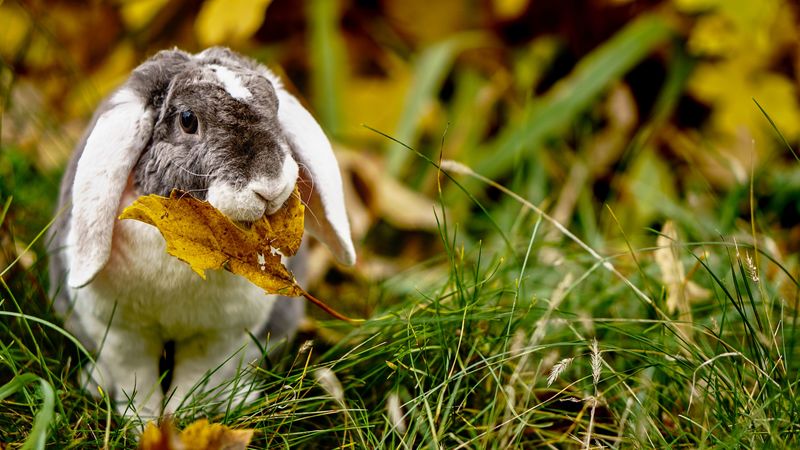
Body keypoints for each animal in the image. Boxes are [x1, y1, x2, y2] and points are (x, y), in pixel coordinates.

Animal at [48, 47, 356, 421]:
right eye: (187, 119)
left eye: (275, 107)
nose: (270, 187)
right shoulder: (120, 331)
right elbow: (135, 379)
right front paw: (143, 422)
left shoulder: (221, 336)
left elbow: (197, 379)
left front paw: (180, 418)